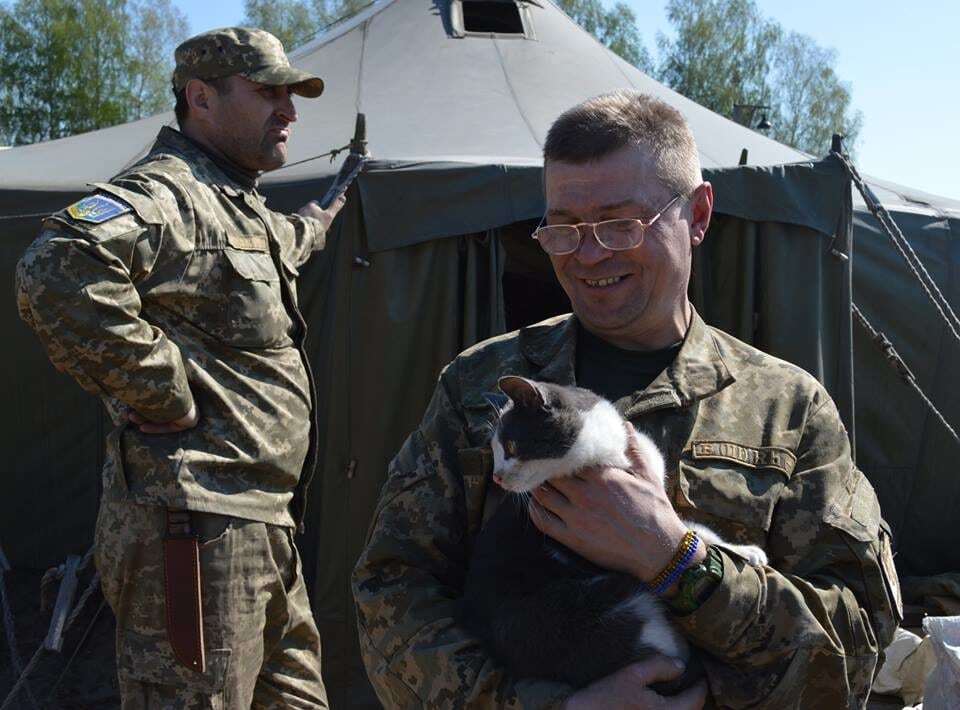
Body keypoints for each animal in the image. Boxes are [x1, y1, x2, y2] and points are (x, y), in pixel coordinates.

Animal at [462, 378, 768, 696]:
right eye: (494, 450)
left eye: (510, 446)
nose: (497, 477)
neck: (608, 451)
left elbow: (689, 527)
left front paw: (745, 550)